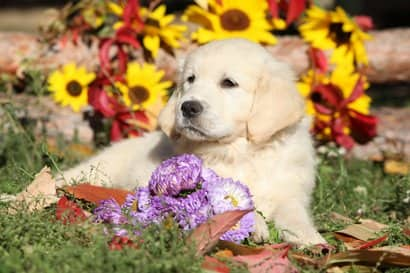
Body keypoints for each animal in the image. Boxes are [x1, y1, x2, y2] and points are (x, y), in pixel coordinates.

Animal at [58, 38, 326, 244]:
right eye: (190, 79)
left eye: (228, 83)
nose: (187, 107)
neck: (240, 152)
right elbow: (231, 202)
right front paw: (255, 224)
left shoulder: (290, 189)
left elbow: (294, 213)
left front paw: (310, 238)